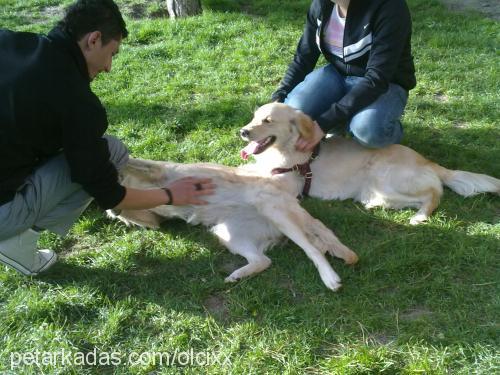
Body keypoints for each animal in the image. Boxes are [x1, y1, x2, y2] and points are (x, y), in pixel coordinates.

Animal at [110, 158, 360, 290]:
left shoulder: (158, 172)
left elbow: (135, 163)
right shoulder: (152, 218)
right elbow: (129, 210)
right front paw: (114, 208)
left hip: (273, 209)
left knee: (313, 249)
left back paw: (329, 277)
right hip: (229, 234)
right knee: (263, 260)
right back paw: (238, 275)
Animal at [239, 103, 500, 225]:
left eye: (268, 120)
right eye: (254, 117)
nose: (243, 131)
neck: (284, 150)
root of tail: (428, 160)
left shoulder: (285, 182)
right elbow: (242, 169)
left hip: (387, 177)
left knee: (433, 195)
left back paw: (419, 217)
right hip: (382, 189)